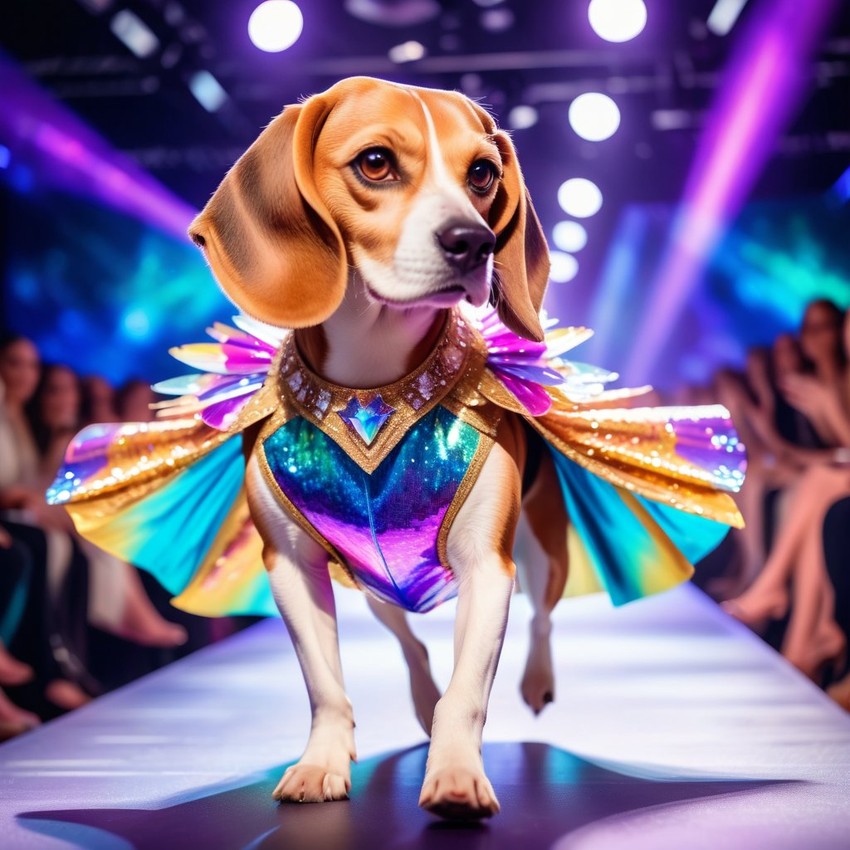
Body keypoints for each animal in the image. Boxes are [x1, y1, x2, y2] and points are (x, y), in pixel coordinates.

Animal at [189, 76, 568, 820]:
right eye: (375, 163)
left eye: (483, 173)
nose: (475, 241)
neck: (373, 383)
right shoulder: (293, 567)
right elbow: (325, 686)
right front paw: (321, 764)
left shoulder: (489, 568)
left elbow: (468, 692)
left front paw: (456, 775)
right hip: (374, 582)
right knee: (409, 643)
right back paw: (420, 698)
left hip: (542, 553)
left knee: (541, 619)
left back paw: (536, 682)